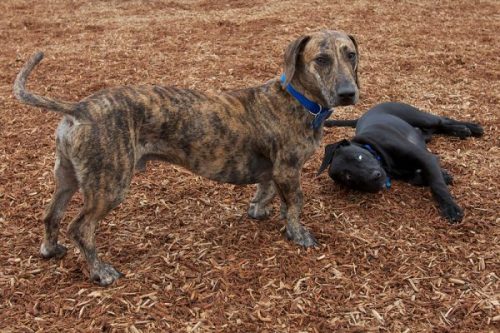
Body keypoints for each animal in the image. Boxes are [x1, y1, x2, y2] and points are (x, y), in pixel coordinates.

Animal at [13, 30, 360, 286]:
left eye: (351, 55)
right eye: (322, 59)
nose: (348, 93)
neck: (298, 99)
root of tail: (79, 108)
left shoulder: (274, 170)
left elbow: (267, 192)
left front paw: (260, 211)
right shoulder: (288, 170)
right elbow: (296, 203)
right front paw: (298, 234)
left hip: (68, 178)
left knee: (51, 215)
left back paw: (50, 249)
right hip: (109, 185)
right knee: (81, 228)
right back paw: (101, 271)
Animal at [318, 100, 482, 220]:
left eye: (359, 156)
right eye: (349, 177)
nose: (375, 177)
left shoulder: (426, 157)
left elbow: (437, 185)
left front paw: (450, 207)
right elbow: (419, 178)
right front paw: (445, 176)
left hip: (420, 117)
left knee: (442, 120)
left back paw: (471, 128)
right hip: (424, 131)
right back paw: (460, 130)